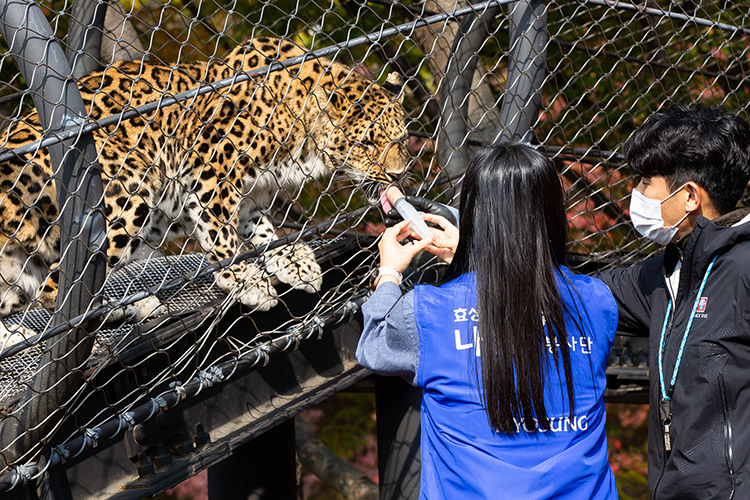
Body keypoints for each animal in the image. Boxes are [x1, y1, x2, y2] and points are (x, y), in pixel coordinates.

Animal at [0, 37, 409, 321]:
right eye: (367, 143)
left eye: (402, 140)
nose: (398, 173)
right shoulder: (209, 168)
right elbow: (221, 236)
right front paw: (247, 282)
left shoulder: (251, 196)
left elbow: (263, 233)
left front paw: (294, 263)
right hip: (124, 191)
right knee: (59, 291)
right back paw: (127, 307)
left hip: (18, 267)